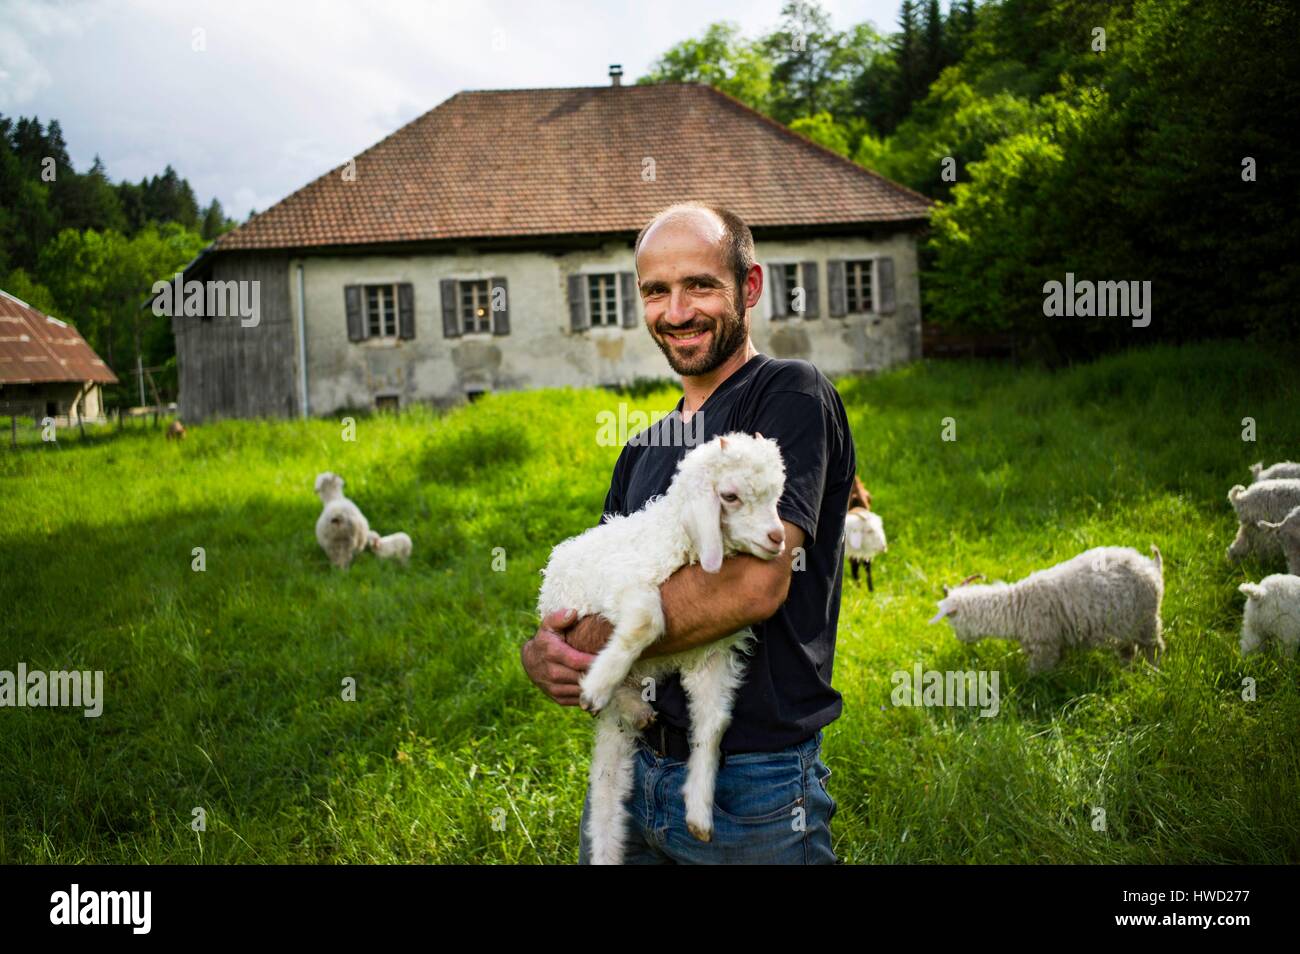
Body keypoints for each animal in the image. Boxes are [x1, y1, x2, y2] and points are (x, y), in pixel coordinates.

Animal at [535, 434, 780, 868]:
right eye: (730, 496)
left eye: (776, 495)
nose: (778, 537)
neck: (676, 538)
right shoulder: (622, 585)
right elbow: (648, 621)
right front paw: (596, 684)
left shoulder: (712, 656)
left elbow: (714, 723)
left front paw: (699, 811)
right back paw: (617, 698)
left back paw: (635, 709)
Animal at [925, 548, 1170, 675]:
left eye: (952, 621)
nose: (962, 641)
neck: (1015, 607)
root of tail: (1152, 565)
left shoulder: (1046, 645)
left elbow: (1035, 674)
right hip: (1125, 624)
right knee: (1129, 650)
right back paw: (1127, 671)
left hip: (1147, 619)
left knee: (1154, 647)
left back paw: (1153, 671)